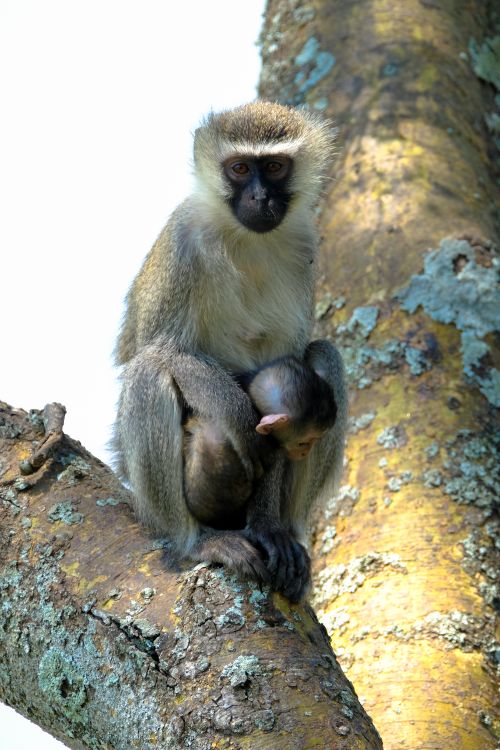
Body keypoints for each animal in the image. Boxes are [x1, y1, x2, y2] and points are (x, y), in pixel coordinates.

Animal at [113, 101, 348, 602]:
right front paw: (236, 414)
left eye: (274, 167)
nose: (259, 197)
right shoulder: (182, 244)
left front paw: (269, 528)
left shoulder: (304, 247)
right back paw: (195, 541)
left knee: (324, 356)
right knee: (148, 371)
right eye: (239, 168)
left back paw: (286, 530)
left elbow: (285, 370)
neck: (246, 238)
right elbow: (162, 350)